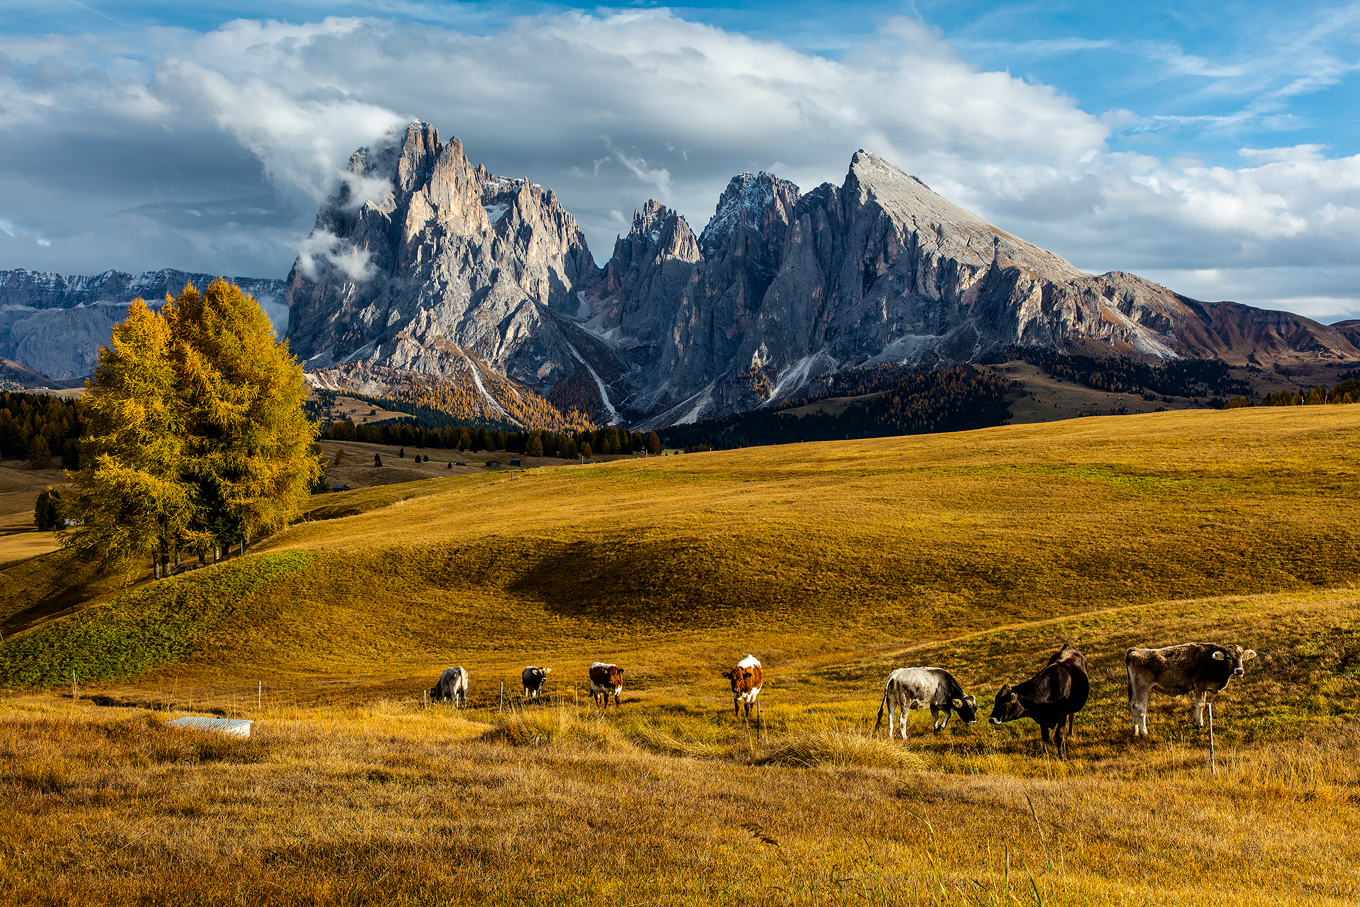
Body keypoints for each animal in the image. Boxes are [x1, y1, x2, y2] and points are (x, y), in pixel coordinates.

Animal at [1120, 639, 1256, 739]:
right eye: (1228, 657)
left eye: (1242, 657)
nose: (1239, 670)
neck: (1213, 661)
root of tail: (1135, 650)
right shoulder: (1201, 684)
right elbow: (1201, 704)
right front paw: (1200, 724)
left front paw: (1196, 720)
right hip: (1142, 687)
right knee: (1140, 707)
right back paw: (1144, 732)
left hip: (1134, 687)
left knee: (1133, 705)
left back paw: (1134, 730)